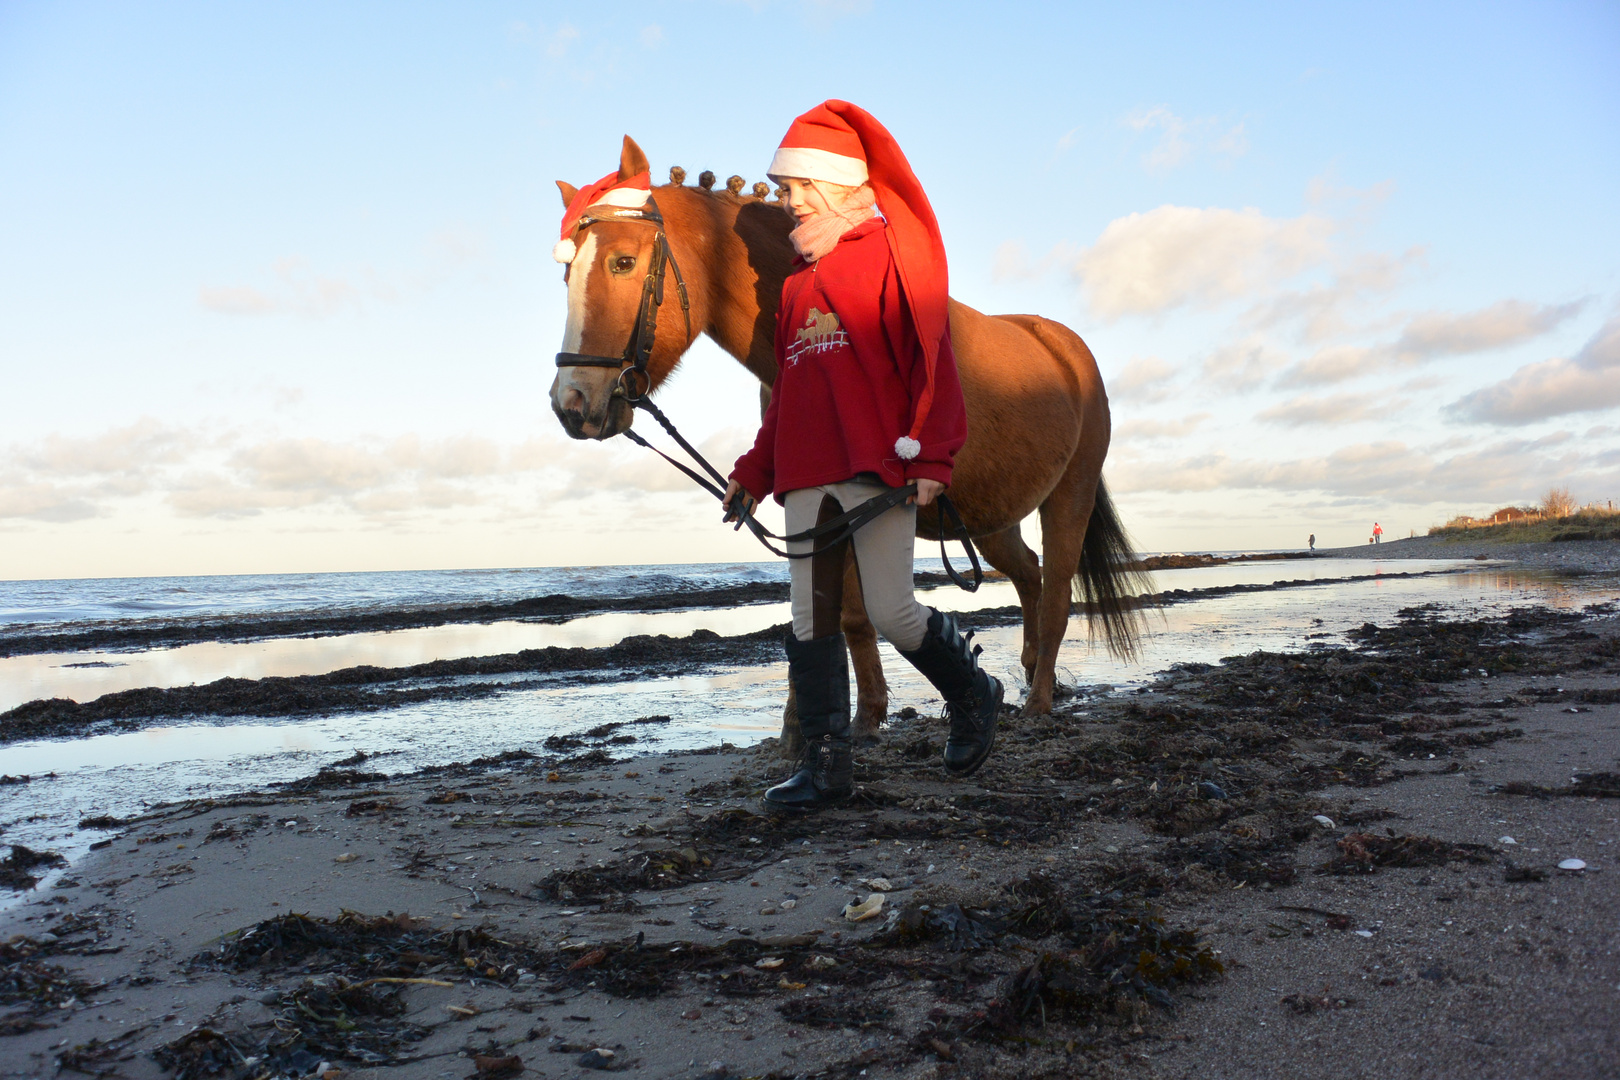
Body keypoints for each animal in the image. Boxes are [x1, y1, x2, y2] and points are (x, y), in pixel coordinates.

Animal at [550, 139, 1146, 757]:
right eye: (566, 272)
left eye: (622, 262)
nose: (572, 402)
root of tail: (1064, 347)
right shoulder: (821, 507)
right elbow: (845, 618)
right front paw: (841, 722)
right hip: (988, 518)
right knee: (1028, 574)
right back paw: (1028, 674)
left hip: (1069, 496)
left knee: (1055, 593)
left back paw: (1039, 701)